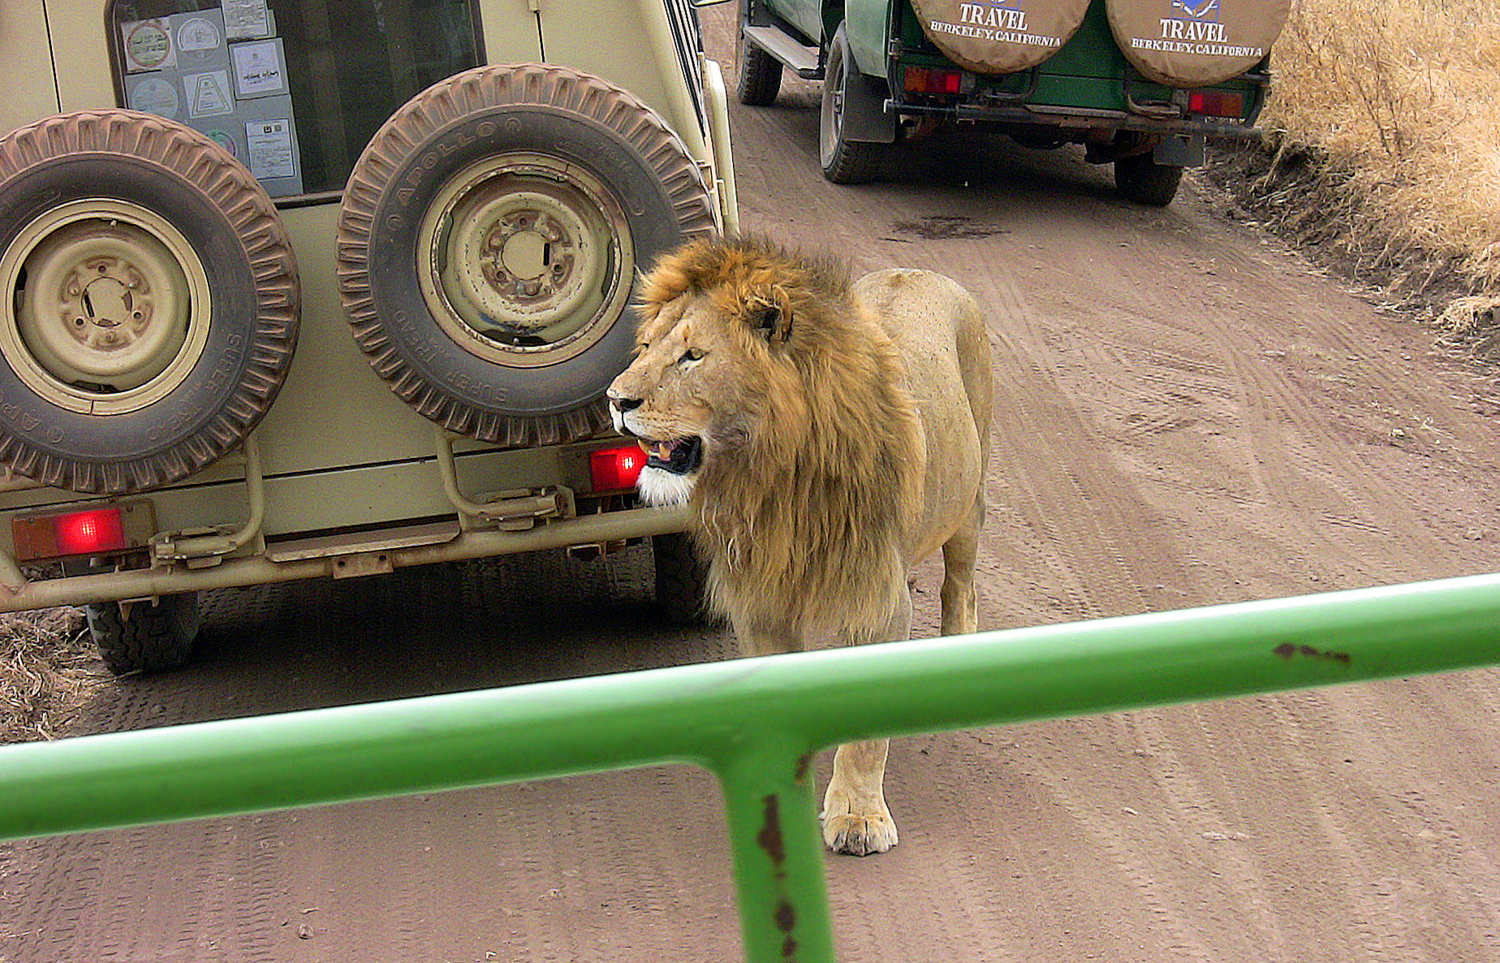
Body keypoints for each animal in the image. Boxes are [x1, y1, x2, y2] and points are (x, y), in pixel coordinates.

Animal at [603, 237, 990, 852]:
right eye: (643, 347)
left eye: (692, 357)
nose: (616, 399)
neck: (771, 477)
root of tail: (920, 270)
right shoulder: (760, 598)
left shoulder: (875, 599)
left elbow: (865, 735)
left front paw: (858, 817)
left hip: (968, 506)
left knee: (961, 589)